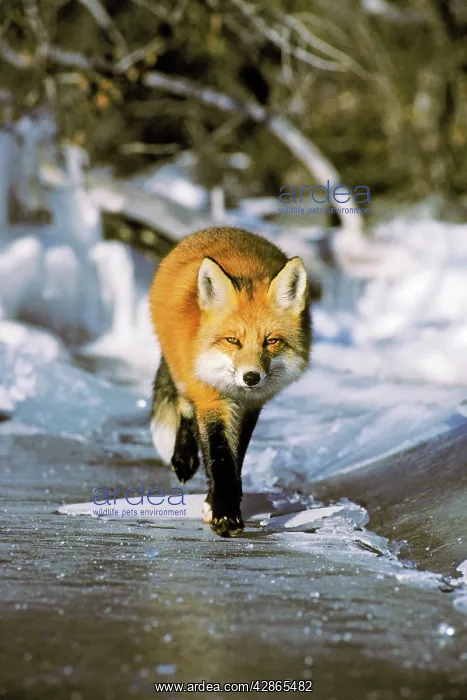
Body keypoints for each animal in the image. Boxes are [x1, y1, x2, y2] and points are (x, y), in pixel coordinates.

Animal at [149, 227, 312, 537]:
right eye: (233, 340)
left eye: (271, 341)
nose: (251, 377)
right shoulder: (211, 398)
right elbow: (220, 456)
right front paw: (224, 515)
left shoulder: (250, 406)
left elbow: (236, 457)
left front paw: (219, 504)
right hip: (182, 372)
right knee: (185, 410)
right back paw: (184, 459)